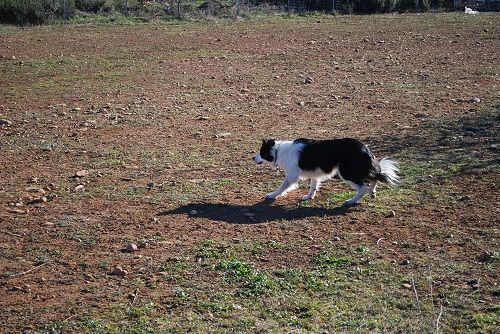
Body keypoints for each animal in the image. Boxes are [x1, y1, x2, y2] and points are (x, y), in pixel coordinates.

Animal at [252, 137, 400, 205]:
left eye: (261, 152)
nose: (253, 158)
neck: (278, 151)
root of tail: (365, 149)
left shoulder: (291, 176)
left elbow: (281, 188)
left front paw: (272, 195)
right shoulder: (314, 173)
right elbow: (313, 186)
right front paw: (309, 196)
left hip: (347, 172)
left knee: (363, 187)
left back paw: (351, 201)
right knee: (374, 177)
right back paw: (372, 192)